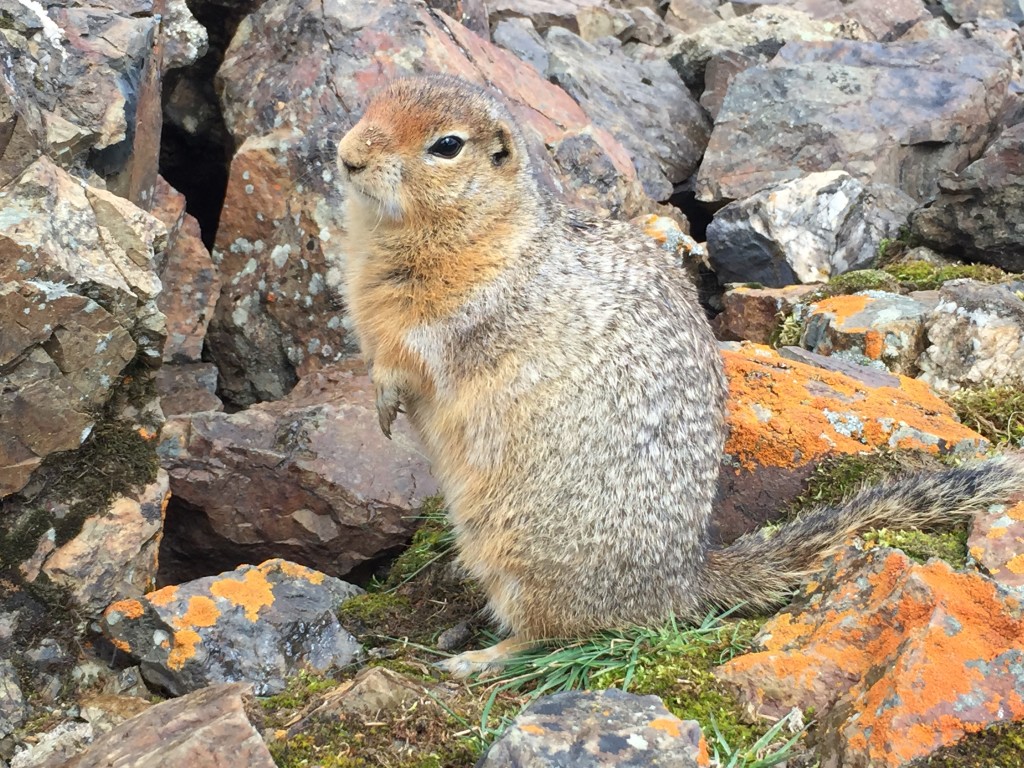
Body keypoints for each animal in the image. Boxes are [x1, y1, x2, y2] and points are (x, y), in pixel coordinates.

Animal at [339, 76, 1024, 679]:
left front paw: (385, 404)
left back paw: (478, 657)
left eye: (446, 145)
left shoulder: (463, 313)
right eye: (373, 100)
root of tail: (683, 580)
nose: (347, 157)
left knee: (552, 634)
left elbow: (413, 358)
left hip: (525, 556)